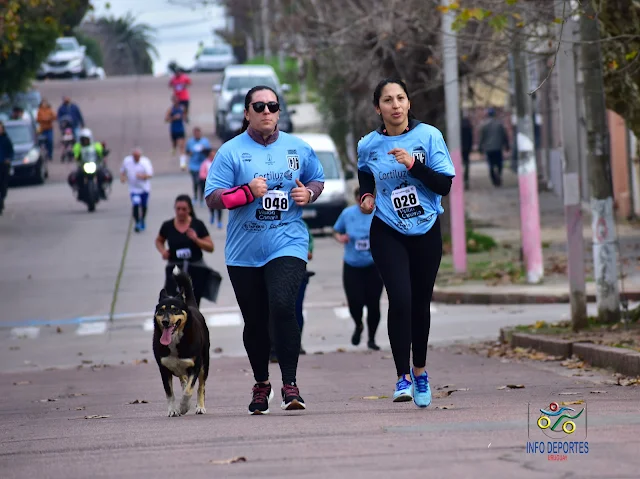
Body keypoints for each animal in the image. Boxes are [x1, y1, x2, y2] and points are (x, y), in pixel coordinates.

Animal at [152, 266, 210, 417]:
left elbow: (189, 391)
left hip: (205, 363)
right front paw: (173, 410)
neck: (175, 341)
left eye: (175, 309)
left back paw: (200, 407)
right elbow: (169, 393)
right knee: (183, 378)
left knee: (200, 386)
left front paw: (184, 407)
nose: (165, 322)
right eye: (161, 310)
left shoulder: (195, 366)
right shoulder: (164, 369)